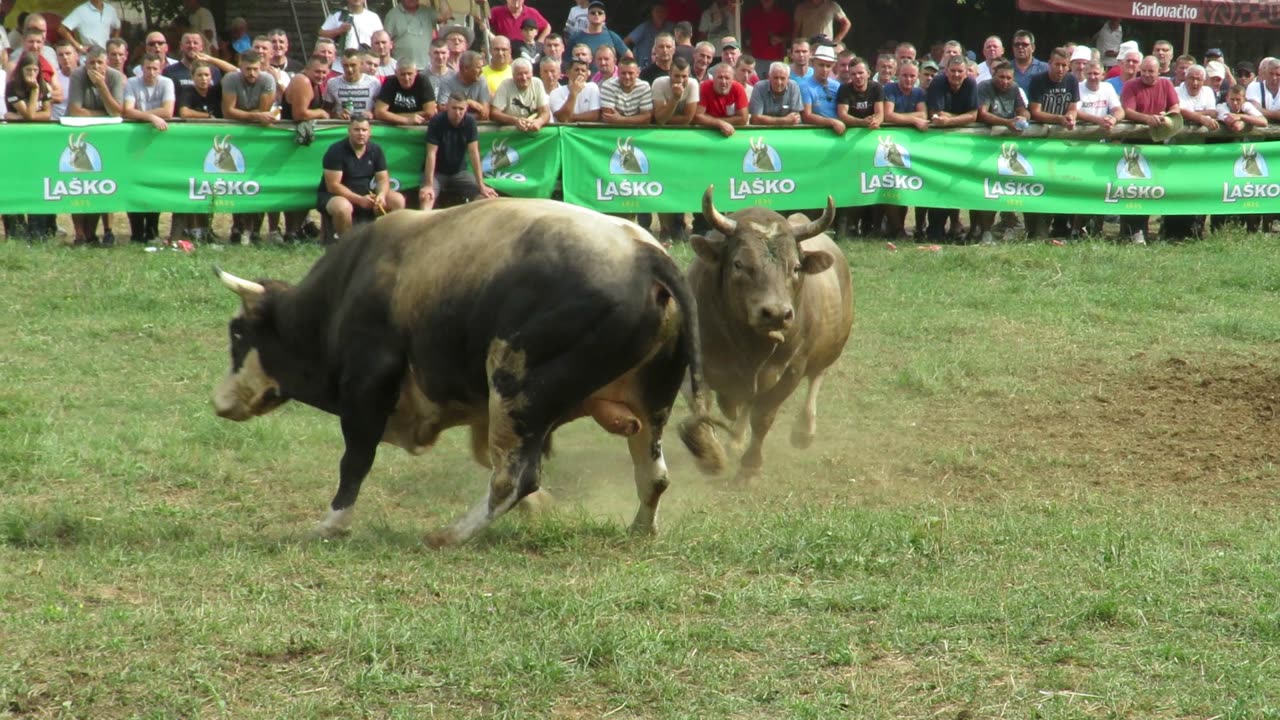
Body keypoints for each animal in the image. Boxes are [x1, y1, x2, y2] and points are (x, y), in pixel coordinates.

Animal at [686, 184, 855, 479]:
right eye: (739, 264)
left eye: (796, 267)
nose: (776, 313)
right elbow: (702, 405)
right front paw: (710, 454)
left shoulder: (791, 370)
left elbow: (763, 417)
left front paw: (750, 466)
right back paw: (735, 438)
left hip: (830, 349)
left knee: (816, 377)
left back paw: (803, 430)